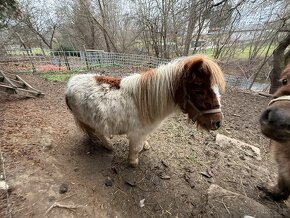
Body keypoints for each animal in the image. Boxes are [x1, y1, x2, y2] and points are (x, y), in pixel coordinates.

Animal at [67, 55, 225, 167]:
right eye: (199, 90)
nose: (217, 123)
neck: (144, 102)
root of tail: (70, 83)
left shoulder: (143, 131)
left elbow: (142, 142)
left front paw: (145, 146)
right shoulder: (136, 133)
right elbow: (135, 148)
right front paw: (133, 162)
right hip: (88, 120)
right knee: (97, 132)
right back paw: (109, 146)